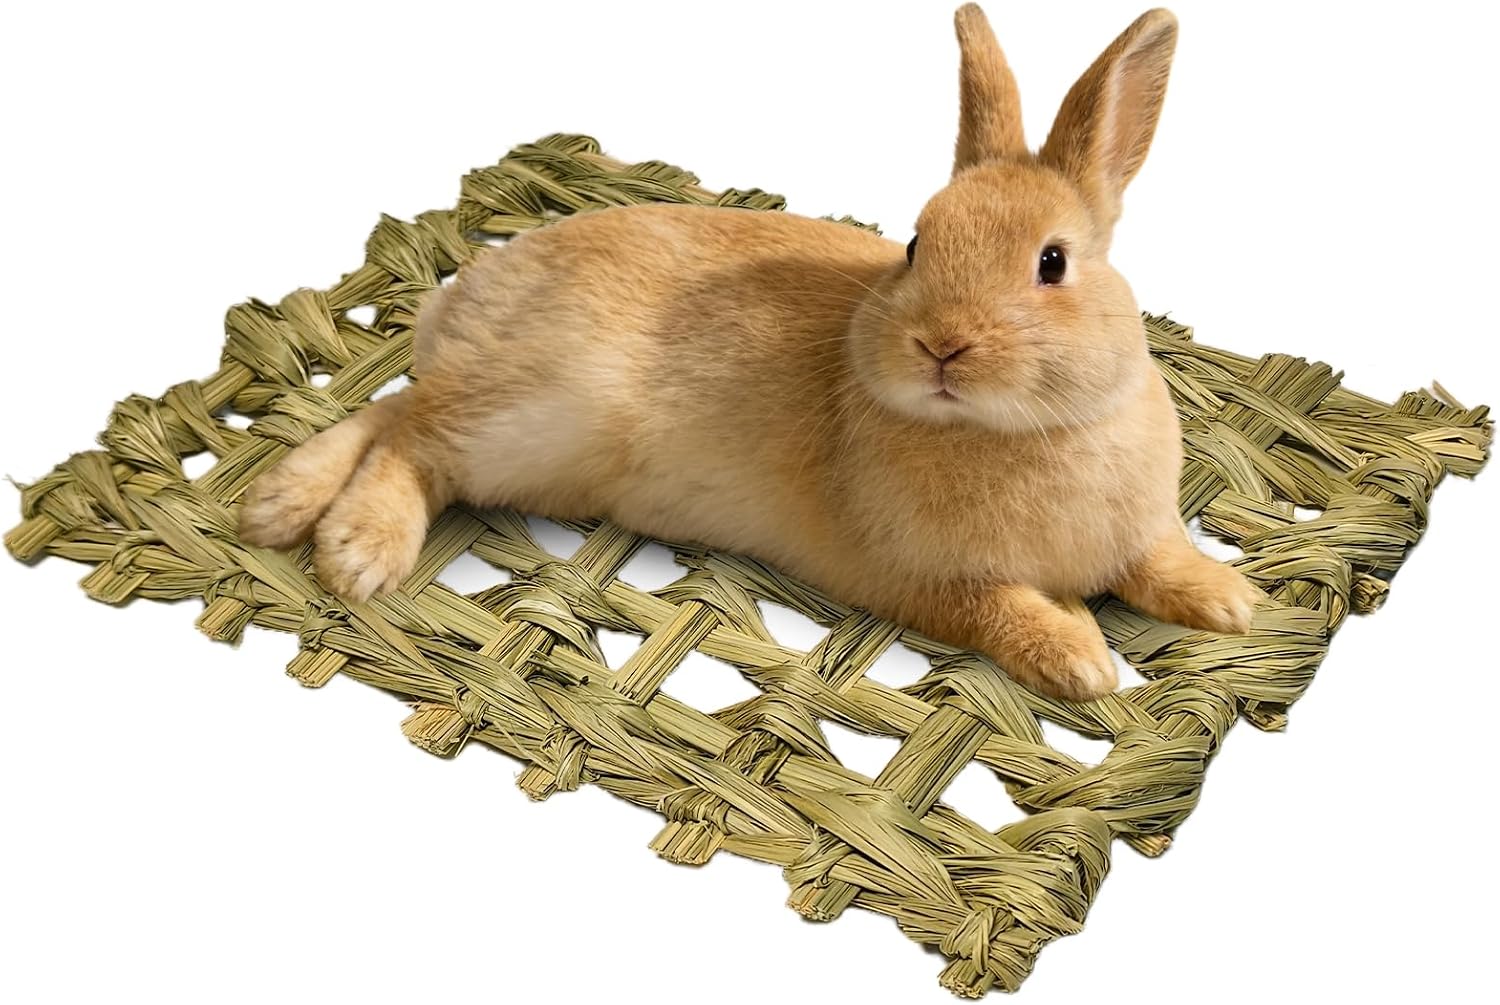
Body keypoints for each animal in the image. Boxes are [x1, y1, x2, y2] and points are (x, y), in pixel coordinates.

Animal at [239, 4, 1260, 702]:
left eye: (1054, 262)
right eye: (916, 244)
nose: (940, 344)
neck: (1020, 430)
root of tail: (462, 299)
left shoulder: (1136, 531)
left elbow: (1158, 557)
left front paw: (1228, 601)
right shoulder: (921, 579)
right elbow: (1000, 609)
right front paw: (1084, 661)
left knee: (397, 410)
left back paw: (278, 503)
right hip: (536, 409)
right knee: (411, 435)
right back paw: (351, 548)